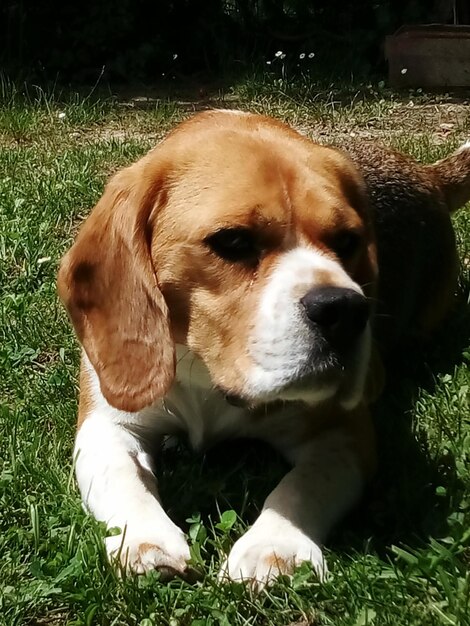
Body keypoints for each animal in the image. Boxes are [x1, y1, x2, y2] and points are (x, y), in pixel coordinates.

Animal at [57, 108, 468, 584]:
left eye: (348, 241)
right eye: (233, 241)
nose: (345, 310)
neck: (210, 382)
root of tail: (426, 175)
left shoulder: (344, 434)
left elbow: (303, 485)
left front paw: (275, 546)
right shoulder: (108, 423)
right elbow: (120, 475)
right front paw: (146, 539)